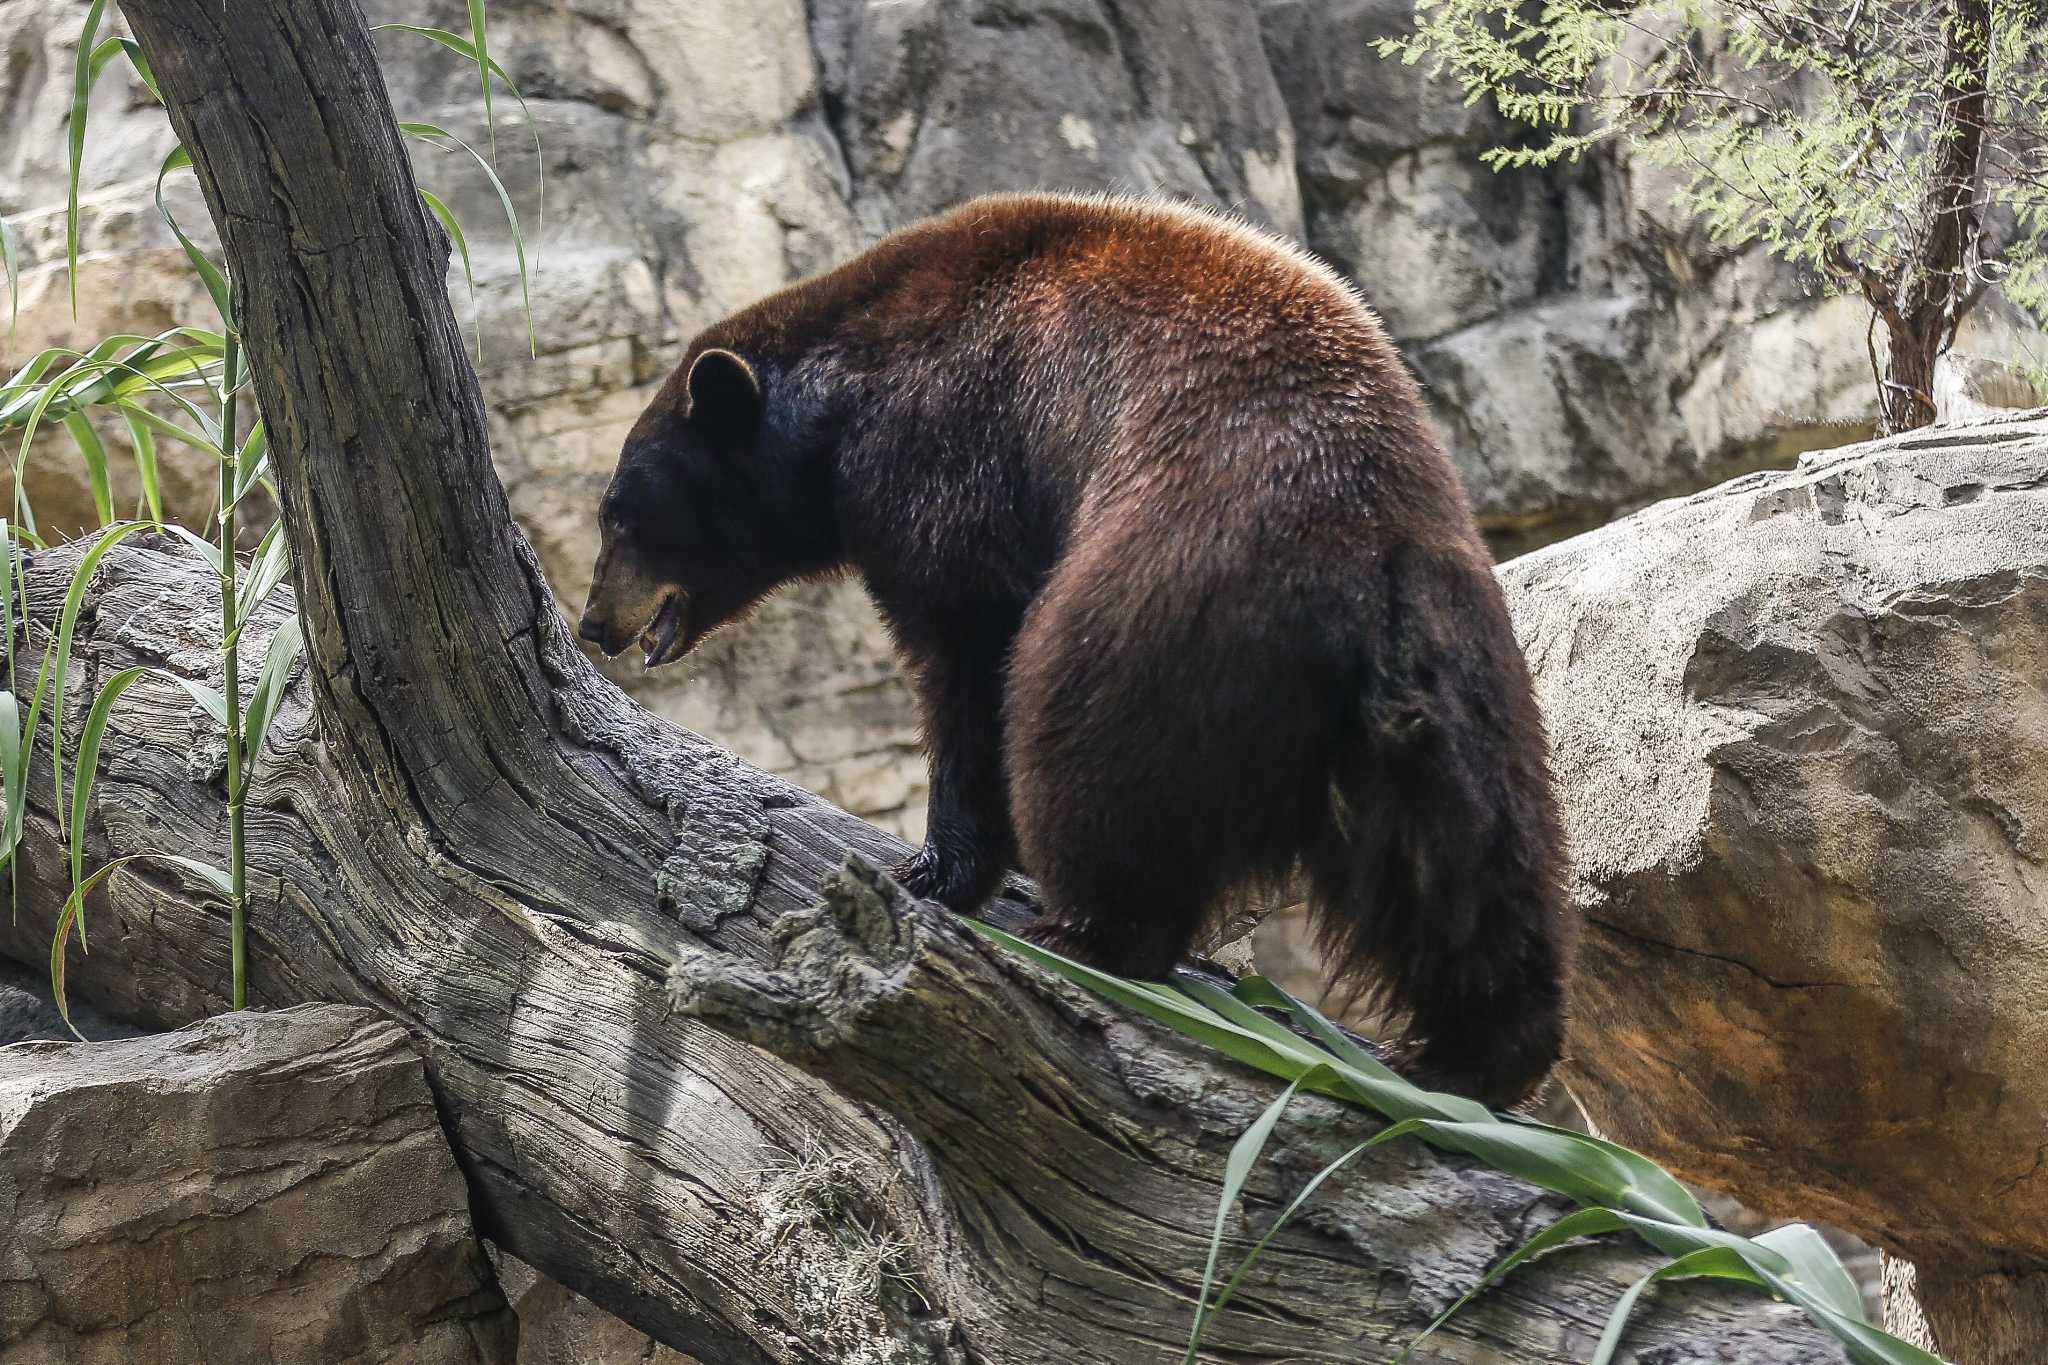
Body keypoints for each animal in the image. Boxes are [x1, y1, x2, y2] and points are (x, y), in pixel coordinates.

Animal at [579, 192, 1575, 1107]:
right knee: (1470, 861)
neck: (844, 402)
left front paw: (931, 869)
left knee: (1092, 761)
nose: (593, 622)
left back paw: (1089, 933)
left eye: (619, 513)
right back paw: (1471, 1055)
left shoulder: (947, 455)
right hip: (1461, 674)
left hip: (1155, 619)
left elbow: (967, 653)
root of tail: (1362, 571)